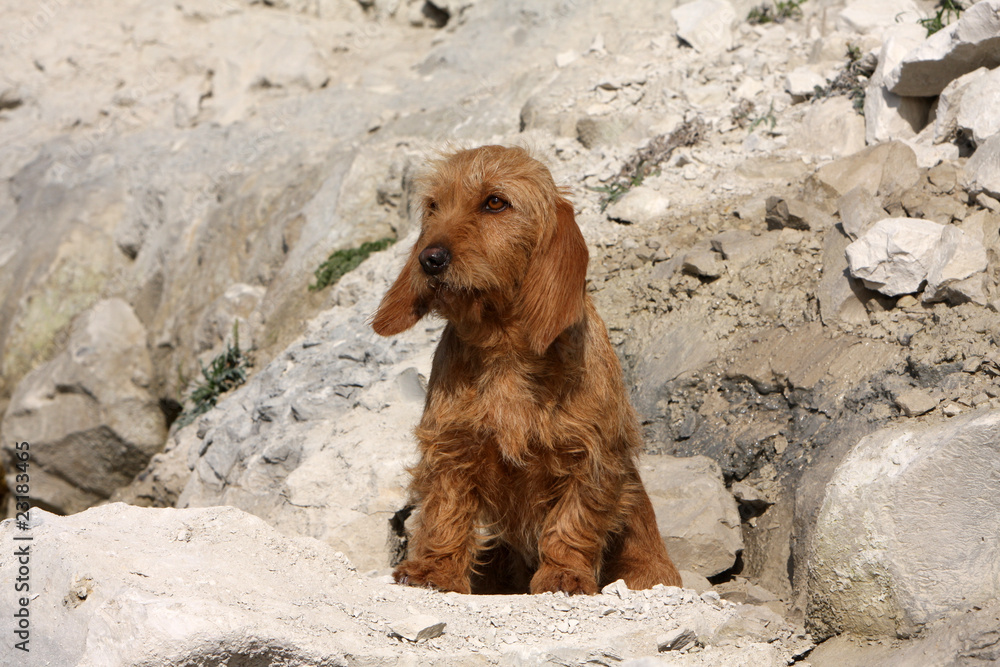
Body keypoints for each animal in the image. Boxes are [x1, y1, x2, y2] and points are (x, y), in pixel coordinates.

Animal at [372, 146, 684, 596]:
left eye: (495, 202)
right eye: (433, 206)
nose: (429, 259)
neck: (504, 348)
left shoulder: (591, 455)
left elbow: (574, 517)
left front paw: (564, 574)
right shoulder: (451, 446)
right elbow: (447, 510)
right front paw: (435, 570)